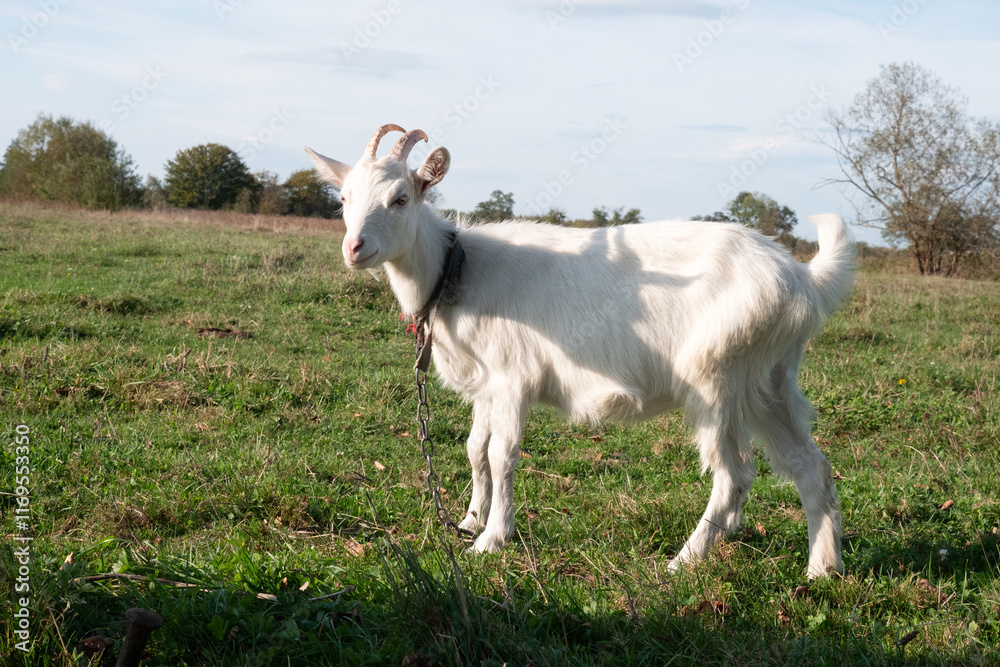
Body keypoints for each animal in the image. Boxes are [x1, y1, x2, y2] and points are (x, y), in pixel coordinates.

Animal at [306, 124, 855, 578]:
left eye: (401, 198)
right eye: (344, 197)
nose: (354, 248)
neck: (455, 268)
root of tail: (802, 278)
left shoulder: (513, 377)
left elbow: (503, 454)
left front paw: (492, 539)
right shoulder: (486, 386)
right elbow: (475, 450)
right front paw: (469, 519)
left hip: (717, 377)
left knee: (734, 475)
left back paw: (684, 560)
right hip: (769, 379)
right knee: (810, 466)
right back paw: (821, 569)